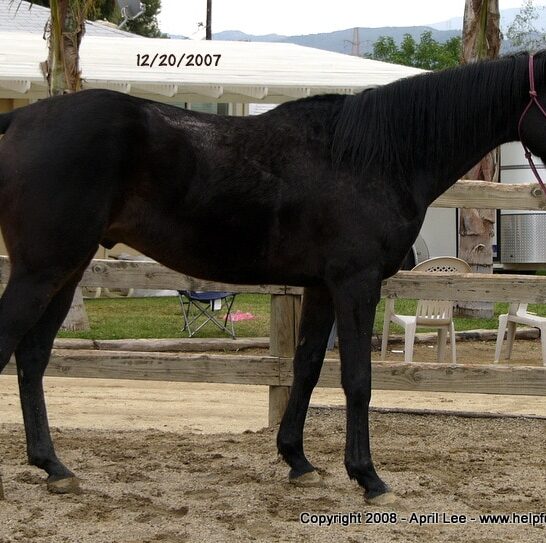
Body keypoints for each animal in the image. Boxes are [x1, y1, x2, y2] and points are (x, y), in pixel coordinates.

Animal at [1, 52, 544, 506]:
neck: (374, 155)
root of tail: (21, 119)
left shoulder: (322, 286)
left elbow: (306, 368)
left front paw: (298, 460)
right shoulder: (356, 284)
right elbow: (357, 379)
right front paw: (367, 476)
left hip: (65, 272)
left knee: (33, 357)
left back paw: (53, 467)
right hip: (41, 270)